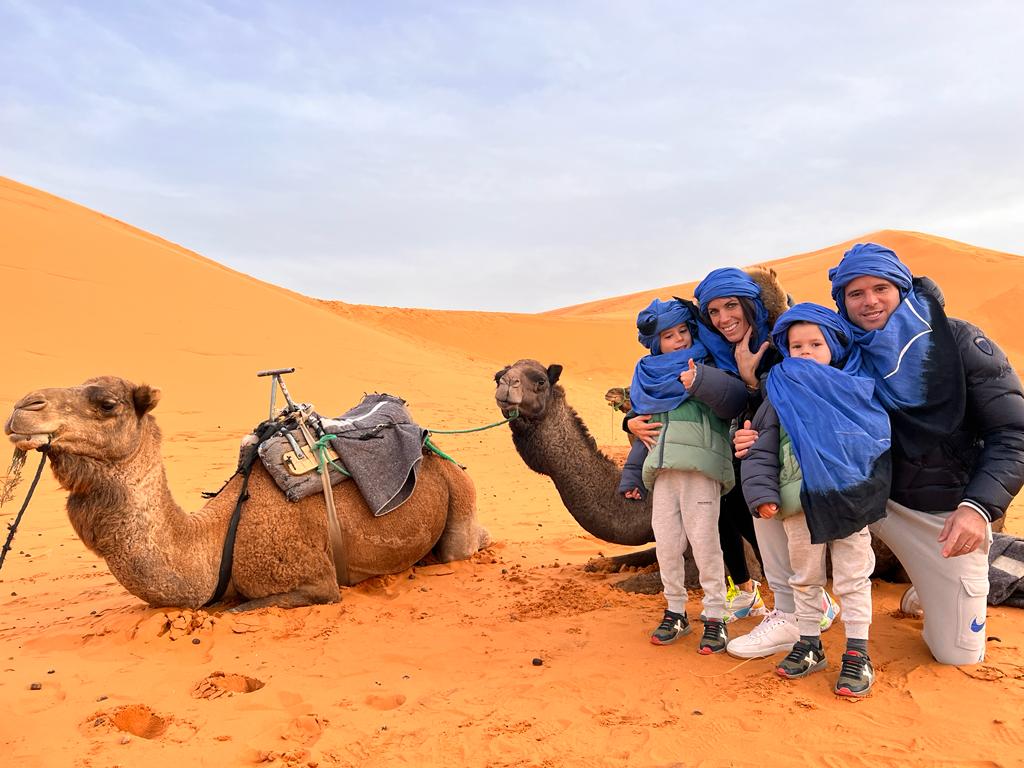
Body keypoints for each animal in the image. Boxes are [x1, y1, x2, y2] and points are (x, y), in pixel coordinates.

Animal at [6, 376, 489, 610]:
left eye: (107, 404)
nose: (22, 407)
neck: (217, 537)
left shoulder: (315, 584)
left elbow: (236, 608)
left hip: (460, 494)